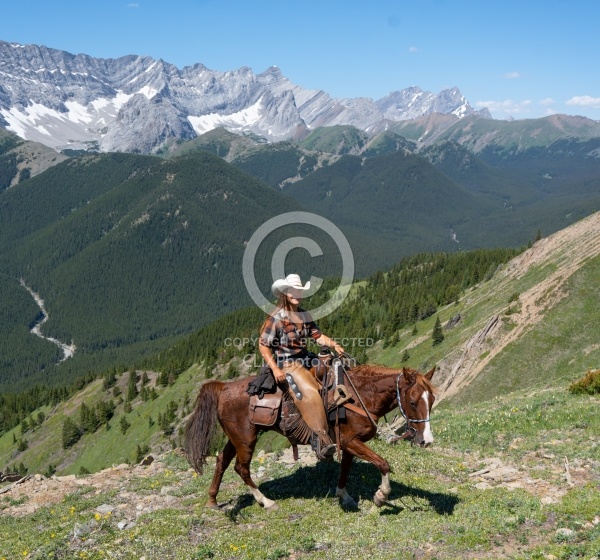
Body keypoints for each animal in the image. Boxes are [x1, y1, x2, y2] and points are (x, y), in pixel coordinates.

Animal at [184, 366, 436, 510]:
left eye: (432, 400)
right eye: (413, 402)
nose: (426, 441)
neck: (359, 396)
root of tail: (224, 387)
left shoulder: (349, 443)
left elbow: (345, 468)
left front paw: (344, 496)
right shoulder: (350, 441)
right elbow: (383, 463)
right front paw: (381, 496)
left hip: (236, 438)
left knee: (222, 461)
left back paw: (212, 500)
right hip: (246, 439)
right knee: (241, 468)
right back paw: (266, 502)